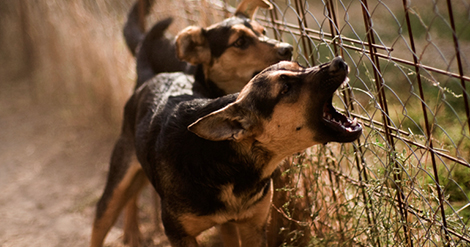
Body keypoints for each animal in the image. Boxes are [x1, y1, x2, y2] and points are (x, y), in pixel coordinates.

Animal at [93, 56, 362, 247]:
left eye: (300, 66)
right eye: (285, 88)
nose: (339, 61)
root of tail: (151, 77)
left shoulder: (253, 226)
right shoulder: (179, 235)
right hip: (115, 185)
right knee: (102, 220)